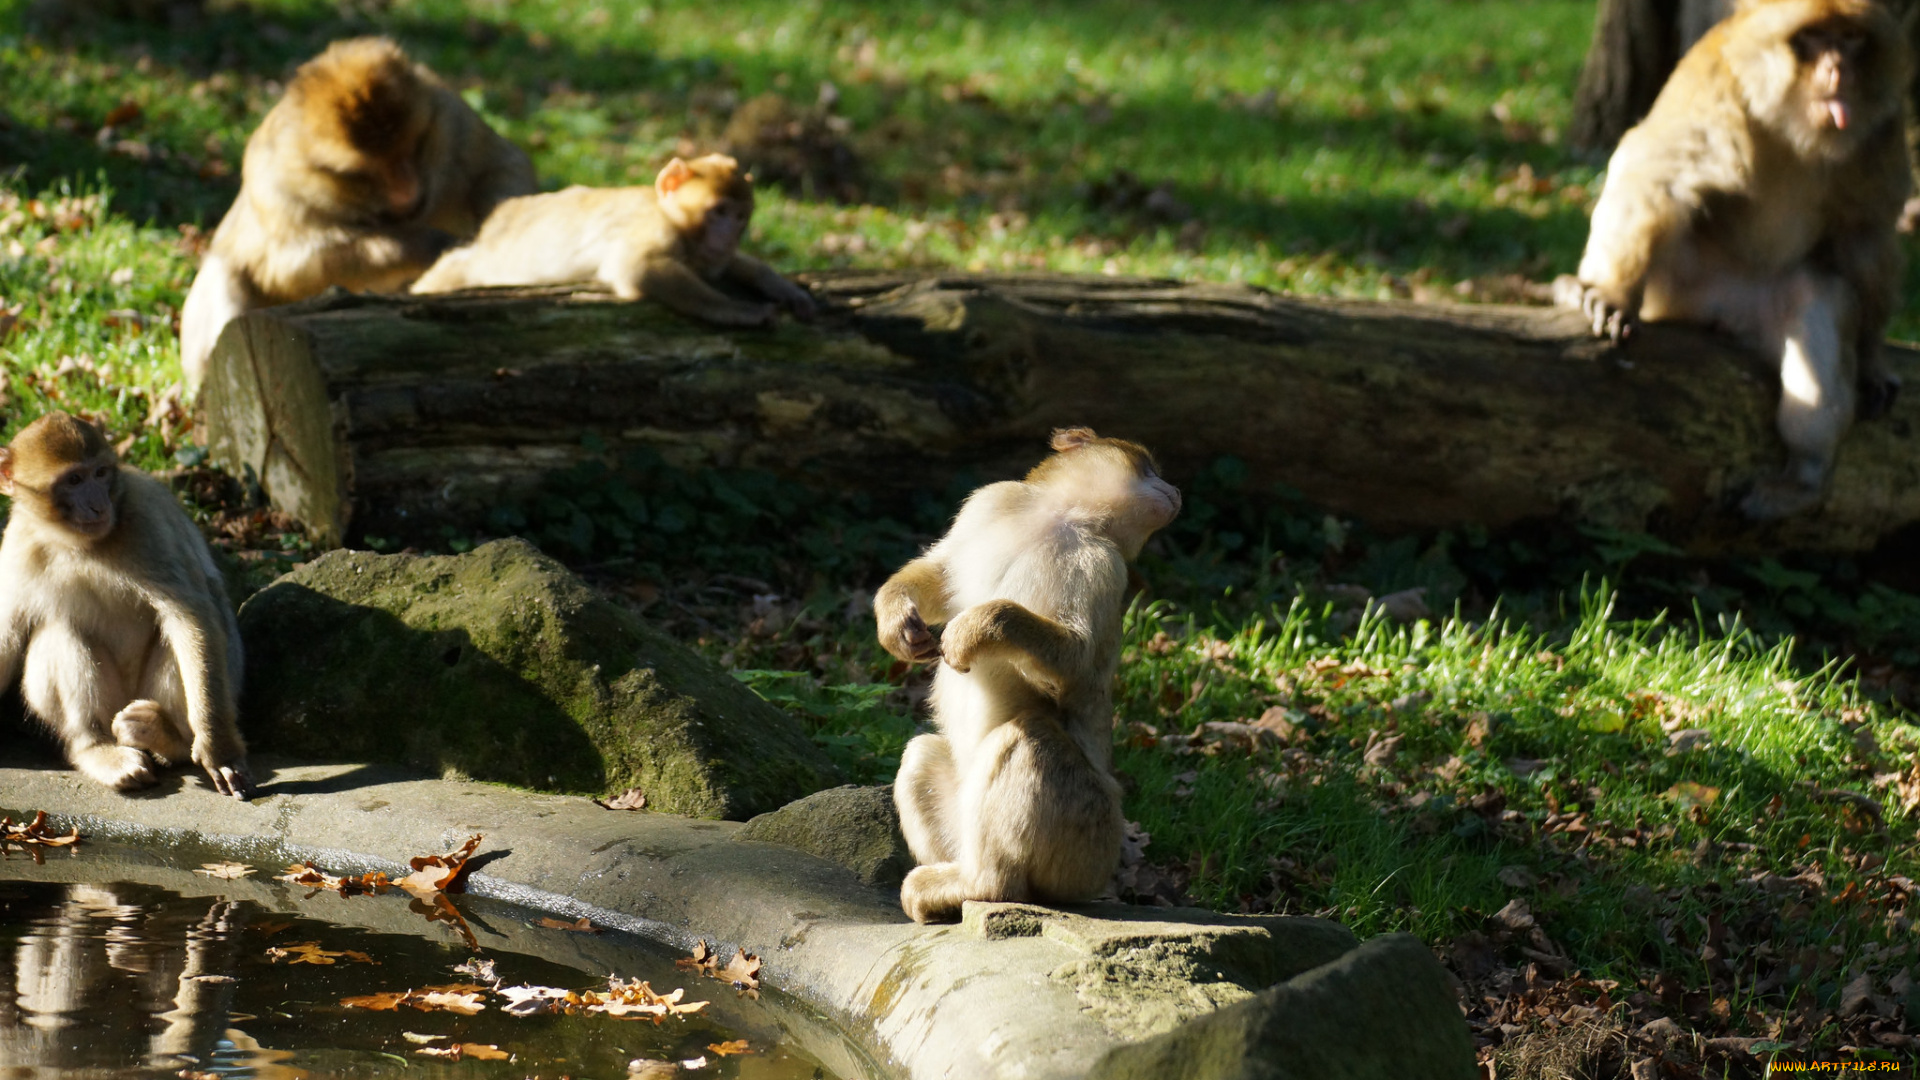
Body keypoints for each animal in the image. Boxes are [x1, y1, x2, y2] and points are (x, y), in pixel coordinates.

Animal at [0, 409, 253, 791]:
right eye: (74, 480)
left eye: (100, 474)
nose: (98, 504)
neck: (75, 544)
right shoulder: (16, 546)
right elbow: (6, 638)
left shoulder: (146, 518)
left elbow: (190, 617)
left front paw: (219, 749)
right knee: (60, 629)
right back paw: (96, 748)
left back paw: (165, 736)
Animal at [408, 152, 814, 322]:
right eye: (719, 212)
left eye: (741, 216)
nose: (729, 236)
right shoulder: (654, 229)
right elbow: (638, 267)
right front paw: (736, 310)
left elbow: (731, 266)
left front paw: (783, 287)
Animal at [875, 424, 1175, 922]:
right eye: (1149, 466)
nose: (1175, 490)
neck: (1060, 516)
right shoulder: (991, 501)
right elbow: (939, 575)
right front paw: (896, 621)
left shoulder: (1102, 566)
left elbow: (1076, 663)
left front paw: (980, 626)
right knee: (921, 754)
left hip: (1085, 847)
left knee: (1030, 739)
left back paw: (985, 886)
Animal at [1559, 0, 1904, 518]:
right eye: (1812, 39)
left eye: (1850, 39)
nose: (1837, 70)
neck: (1795, 126)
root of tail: (1722, 315)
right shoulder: (1716, 82)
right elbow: (1655, 173)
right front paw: (1612, 294)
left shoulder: (1882, 127)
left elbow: (1865, 238)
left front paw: (1871, 358)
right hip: (1682, 287)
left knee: (1816, 291)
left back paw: (1804, 476)